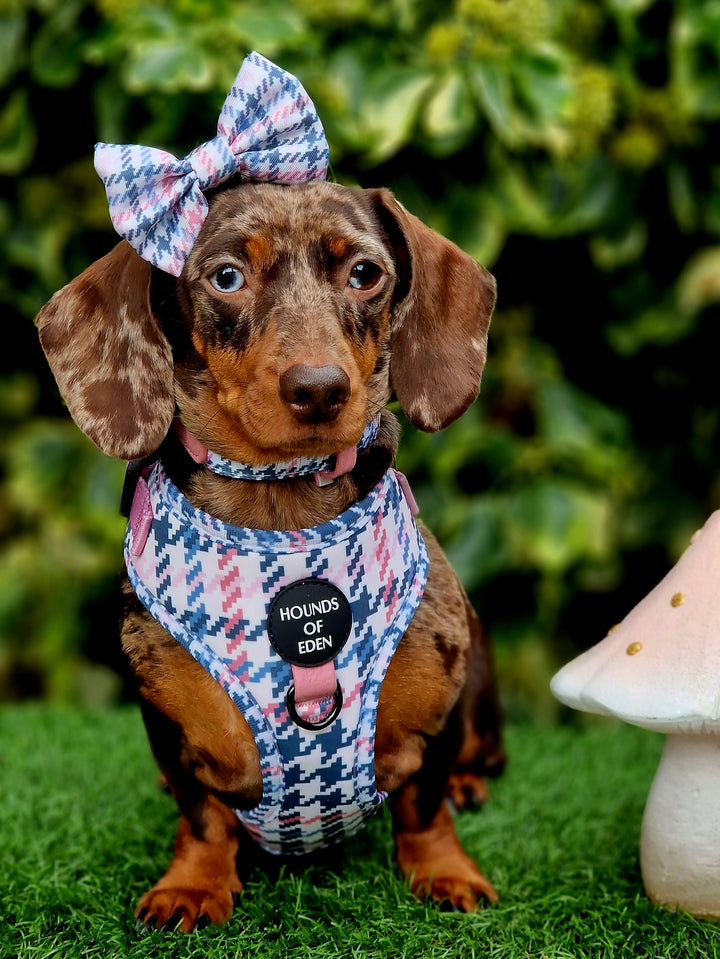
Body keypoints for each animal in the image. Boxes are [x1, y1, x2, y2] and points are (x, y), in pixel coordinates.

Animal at [35, 56, 500, 932]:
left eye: (365, 272)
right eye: (226, 276)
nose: (319, 389)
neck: (283, 519)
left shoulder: (438, 695)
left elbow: (422, 804)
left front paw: (444, 870)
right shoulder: (169, 720)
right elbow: (204, 814)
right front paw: (193, 884)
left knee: (474, 757)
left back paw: (471, 780)